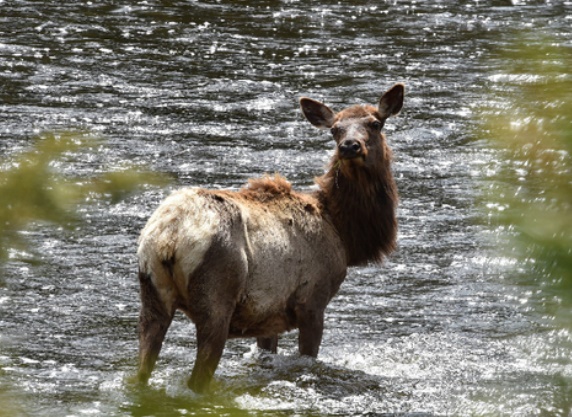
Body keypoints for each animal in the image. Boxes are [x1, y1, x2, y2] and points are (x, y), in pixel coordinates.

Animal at [136, 83, 404, 392]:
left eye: (375, 123)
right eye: (335, 129)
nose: (350, 146)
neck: (344, 233)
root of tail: (168, 239)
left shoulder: (266, 315)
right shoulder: (312, 300)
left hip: (152, 297)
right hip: (217, 295)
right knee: (198, 377)